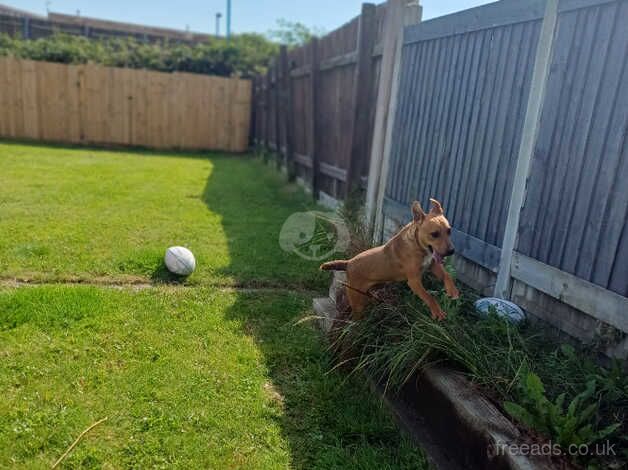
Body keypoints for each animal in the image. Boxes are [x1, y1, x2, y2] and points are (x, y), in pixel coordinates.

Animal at [322, 198, 458, 320]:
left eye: (449, 231)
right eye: (434, 234)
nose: (452, 251)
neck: (417, 245)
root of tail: (349, 262)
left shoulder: (433, 265)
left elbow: (447, 275)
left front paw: (452, 290)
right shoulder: (414, 281)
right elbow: (429, 296)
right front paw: (437, 310)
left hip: (368, 292)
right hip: (357, 301)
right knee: (354, 315)